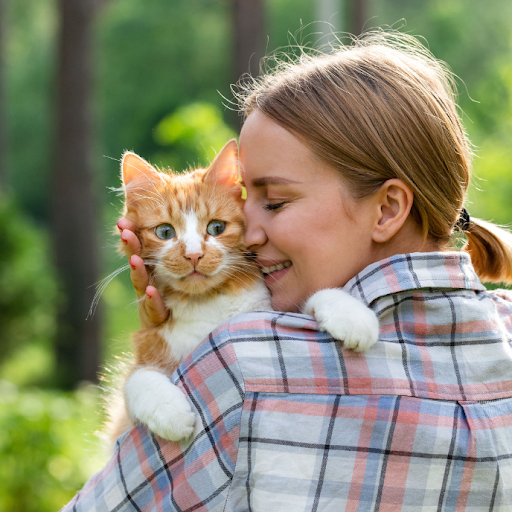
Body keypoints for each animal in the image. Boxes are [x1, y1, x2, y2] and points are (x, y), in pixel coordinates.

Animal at [105, 140, 380, 448]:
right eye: (165, 232)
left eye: (216, 227)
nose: (194, 255)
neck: (208, 303)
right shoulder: (149, 353)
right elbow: (137, 380)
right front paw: (170, 414)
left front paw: (352, 317)